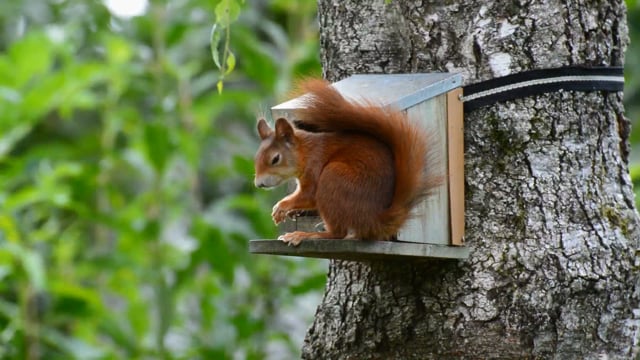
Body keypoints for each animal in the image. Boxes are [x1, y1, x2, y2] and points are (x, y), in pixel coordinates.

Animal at [254, 78, 440, 248]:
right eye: (256, 158)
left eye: (275, 159)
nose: (259, 184)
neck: (305, 152)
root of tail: (374, 220)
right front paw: (294, 211)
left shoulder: (314, 165)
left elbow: (309, 195)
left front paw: (281, 206)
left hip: (333, 177)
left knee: (338, 233)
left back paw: (306, 235)